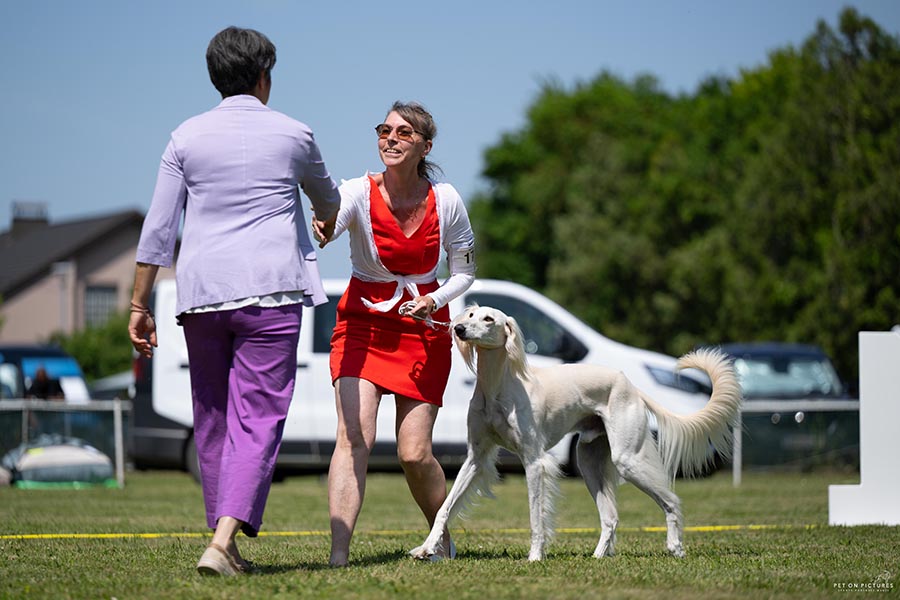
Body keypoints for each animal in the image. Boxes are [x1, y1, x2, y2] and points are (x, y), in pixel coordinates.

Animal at [410, 305, 742, 561]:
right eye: (469, 314)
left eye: (489, 319)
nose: (459, 328)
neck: (496, 387)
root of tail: (630, 384)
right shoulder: (475, 458)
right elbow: (443, 508)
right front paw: (426, 548)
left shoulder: (534, 462)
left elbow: (535, 516)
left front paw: (535, 556)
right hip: (589, 461)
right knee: (611, 517)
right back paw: (597, 557)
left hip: (628, 459)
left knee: (671, 500)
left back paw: (675, 547)